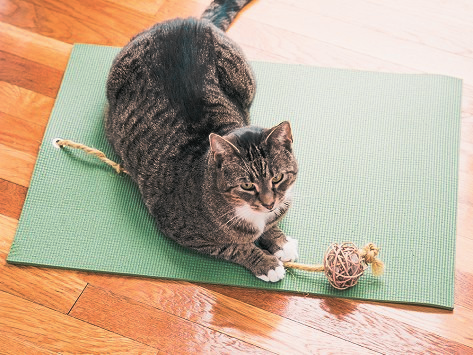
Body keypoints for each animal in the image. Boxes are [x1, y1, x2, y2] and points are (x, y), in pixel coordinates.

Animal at [106, 0, 298, 284]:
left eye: (277, 178)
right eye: (246, 185)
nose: (268, 203)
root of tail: (187, 22)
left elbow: (271, 224)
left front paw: (279, 241)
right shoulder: (186, 233)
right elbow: (235, 247)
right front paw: (266, 262)